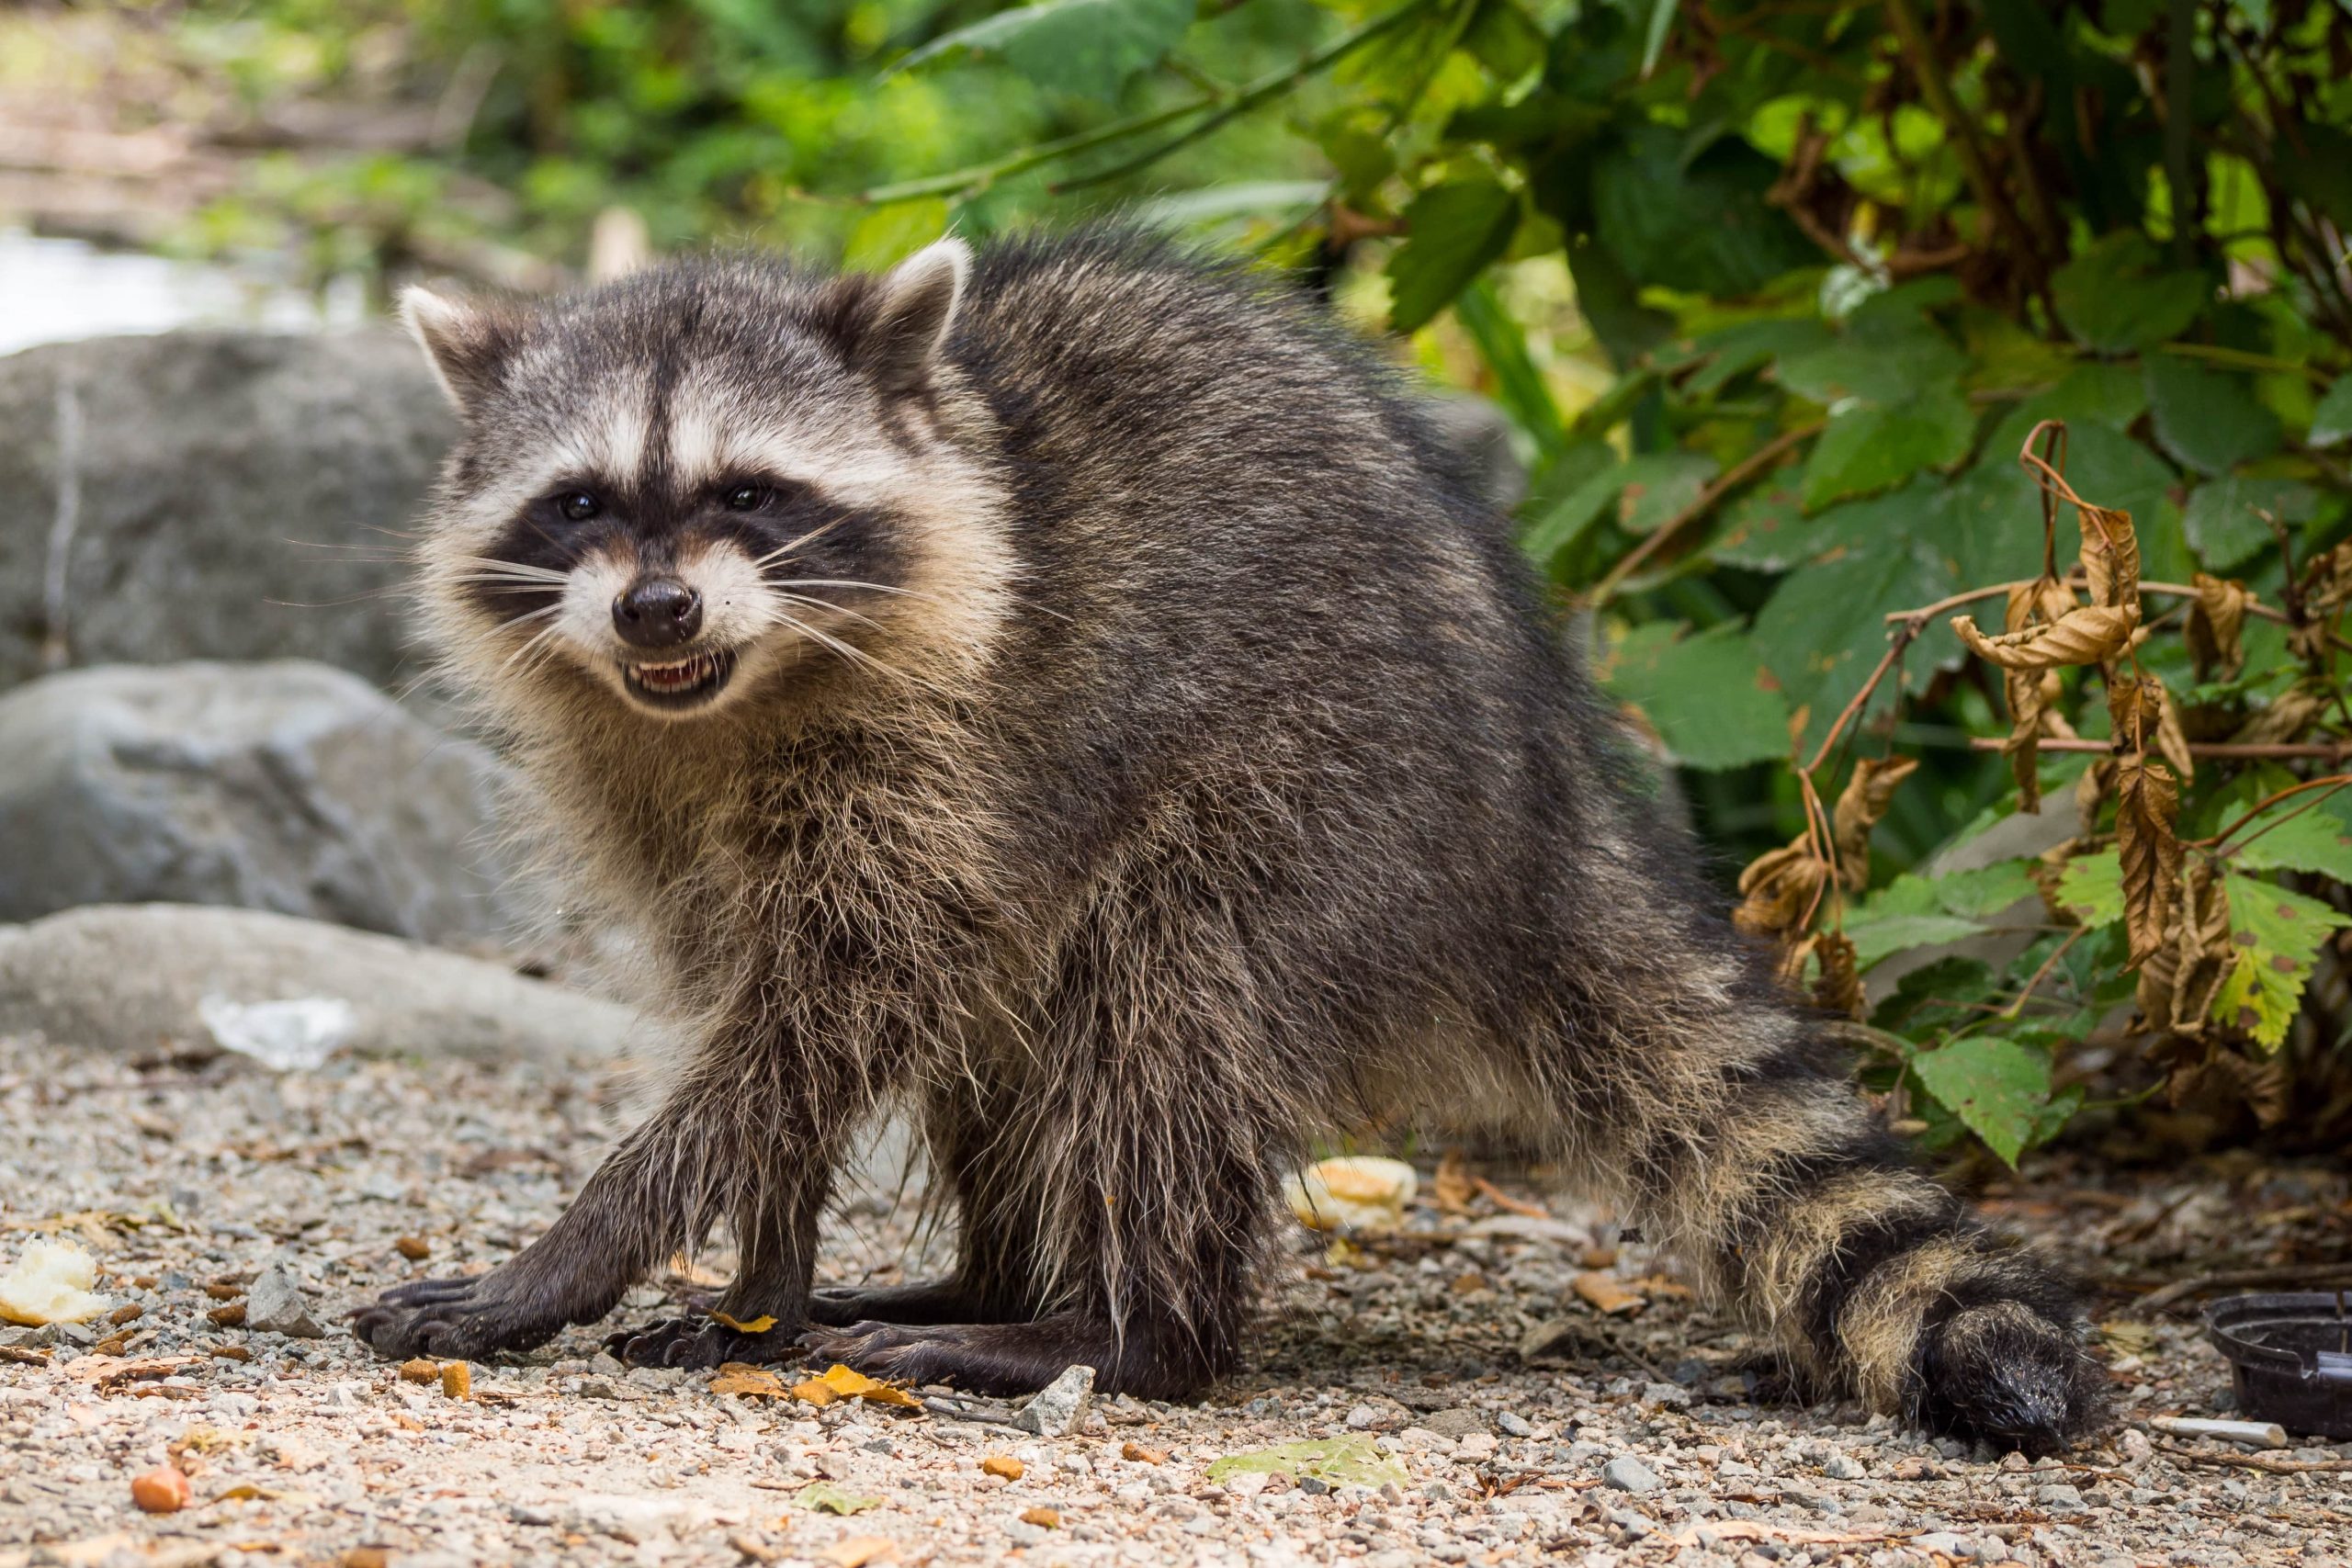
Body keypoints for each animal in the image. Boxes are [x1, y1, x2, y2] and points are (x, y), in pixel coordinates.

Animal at [353, 232, 2117, 1457]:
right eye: (582, 503)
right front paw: (757, 1282)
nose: (658, 608)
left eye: (747, 494)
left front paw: (582, 1249)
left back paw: (1120, 1331)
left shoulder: (948, 751)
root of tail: (1544, 803)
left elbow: (822, 1019)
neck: (736, 694)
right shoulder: (653, 788)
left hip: (1318, 799)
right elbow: (780, 1027)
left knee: (1161, 1013)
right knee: (1022, 1039)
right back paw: (990, 1279)